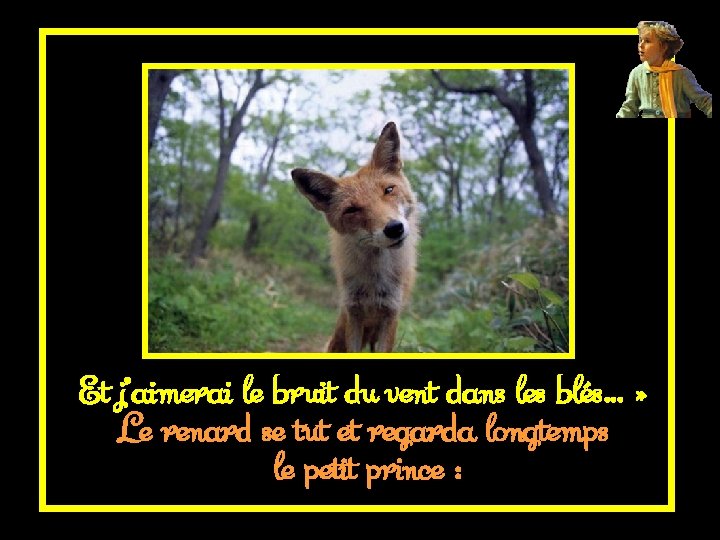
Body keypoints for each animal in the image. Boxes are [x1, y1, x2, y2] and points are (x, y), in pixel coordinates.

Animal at [291, 122, 419, 352]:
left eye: (389, 190)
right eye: (352, 210)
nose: (394, 228)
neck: (374, 282)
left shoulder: (390, 314)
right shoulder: (354, 313)